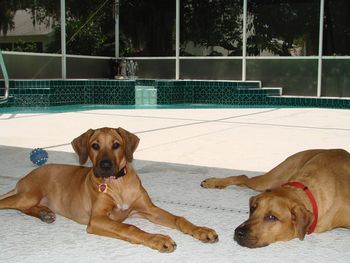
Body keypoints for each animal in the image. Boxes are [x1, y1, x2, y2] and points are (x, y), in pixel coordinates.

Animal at [0, 128, 217, 254]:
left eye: (116, 145)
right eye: (94, 146)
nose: (104, 165)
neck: (117, 183)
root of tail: (24, 178)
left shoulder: (149, 209)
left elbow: (178, 218)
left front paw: (201, 230)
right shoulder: (96, 219)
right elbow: (129, 227)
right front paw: (157, 238)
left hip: (31, 198)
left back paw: (44, 213)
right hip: (29, 194)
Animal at [200, 150, 350, 249]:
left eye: (272, 217)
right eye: (253, 208)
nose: (238, 232)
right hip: (269, 180)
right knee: (243, 177)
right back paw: (213, 182)